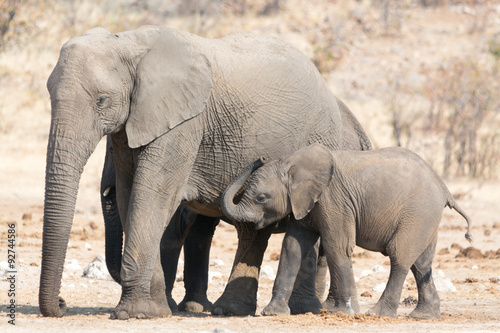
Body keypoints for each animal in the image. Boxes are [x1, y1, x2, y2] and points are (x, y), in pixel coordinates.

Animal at [40, 24, 372, 318]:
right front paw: (158, 310)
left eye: (102, 100)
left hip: (320, 139)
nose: (61, 305)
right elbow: (130, 196)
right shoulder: (134, 128)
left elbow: (151, 199)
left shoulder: (185, 123)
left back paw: (302, 310)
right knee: (253, 230)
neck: (129, 43)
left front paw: (135, 314)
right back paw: (231, 310)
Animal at [223, 143, 472, 320]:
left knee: (400, 257)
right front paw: (273, 313)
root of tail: (444, 188)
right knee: (421, 264)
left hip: (418, 213)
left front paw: (342, 313)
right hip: (425, 218)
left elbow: (337, 247)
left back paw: (378, 314)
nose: (261, 158)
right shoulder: (306, 203)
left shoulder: (333, 201)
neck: (291, 162)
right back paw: (424, 316)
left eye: (261, 198)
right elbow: (292, 248)